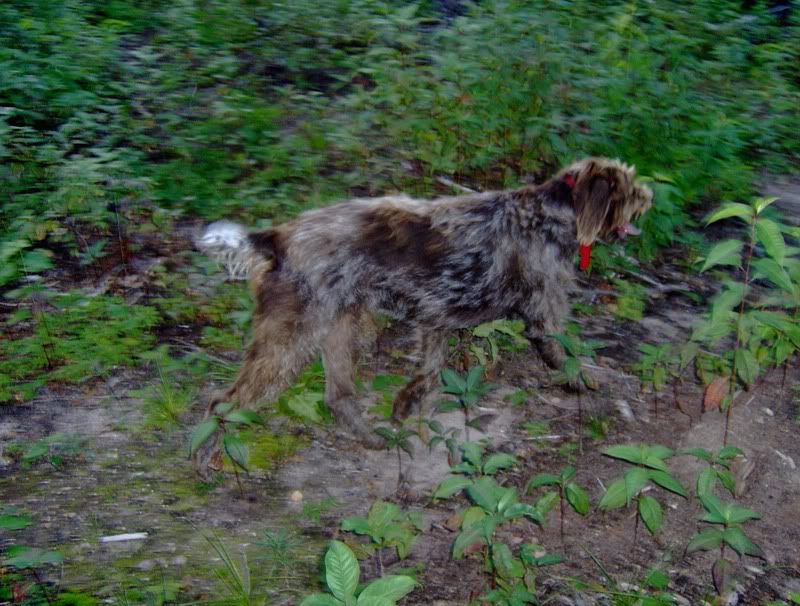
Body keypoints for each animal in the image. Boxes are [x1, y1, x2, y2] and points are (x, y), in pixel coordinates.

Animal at [192, 157, 652, 476]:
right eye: (629, 187)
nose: (649, 196)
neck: (552, 213)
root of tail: (275, 236)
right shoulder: (543, 314)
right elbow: (567, 356)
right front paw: (586, 383)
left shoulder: (436, 319)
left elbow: (429, 374)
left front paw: (406, 405)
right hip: (291, 340)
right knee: (222, 401)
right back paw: (208, 455)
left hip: (343, 329)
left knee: (337, 397)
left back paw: (370, 438)